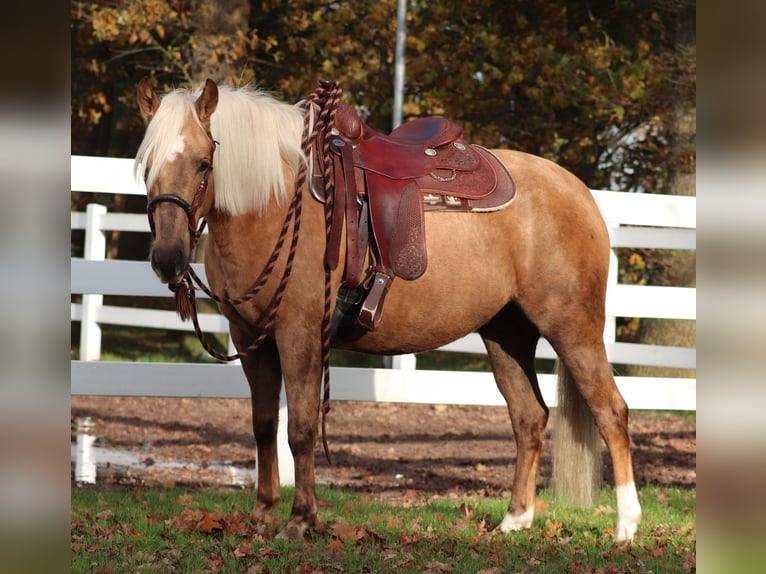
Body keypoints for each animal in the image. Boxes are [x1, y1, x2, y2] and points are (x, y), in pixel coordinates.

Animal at [136, 79, 640, 544]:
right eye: (145, 167)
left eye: (203, 162)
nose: (166, 259)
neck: (274, 203)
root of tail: (579, 192)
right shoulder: (250, 338)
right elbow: (264, 426)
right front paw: (262, 515)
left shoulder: (299, 334)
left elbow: (300, 429)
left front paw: (300, 521)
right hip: (506, 334)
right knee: (529, 418)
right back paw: (515, 520)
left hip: (573, 327)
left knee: (610, 410)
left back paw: (626, 526)